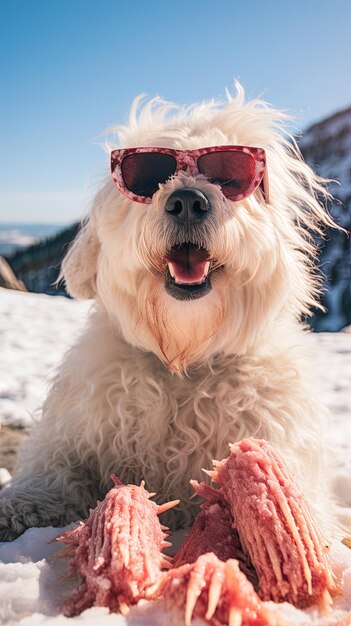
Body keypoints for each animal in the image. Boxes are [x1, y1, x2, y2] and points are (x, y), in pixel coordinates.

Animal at [0, 85, 340, 540]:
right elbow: (53, 474)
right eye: (148, 176)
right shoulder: (73, 434)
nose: (187, 201)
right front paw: (20, 505)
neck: (183, 358)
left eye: (228, 176)